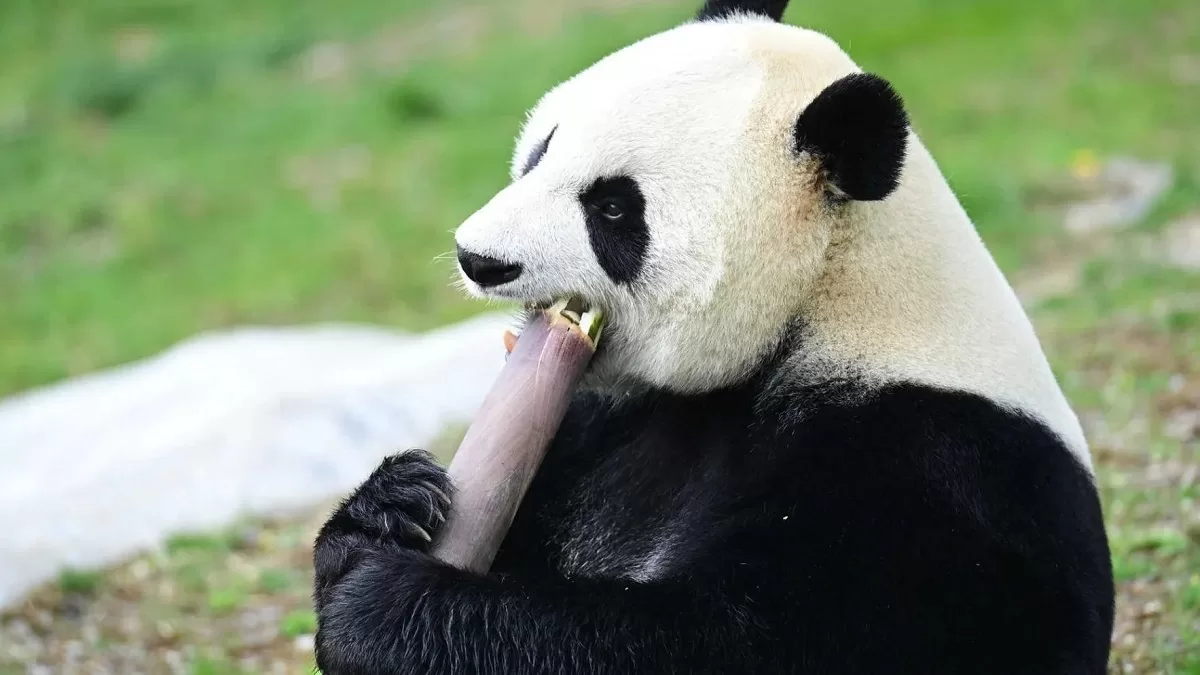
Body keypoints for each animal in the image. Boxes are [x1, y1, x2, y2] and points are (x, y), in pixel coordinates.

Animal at [311, 0, 1116, 673]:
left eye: (613, 207)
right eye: (540, 152)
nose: (479, 258)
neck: (829, 296)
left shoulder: (923, 469)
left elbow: (740, 638)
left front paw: (378, 606)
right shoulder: (597, 424)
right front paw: (391, 506)